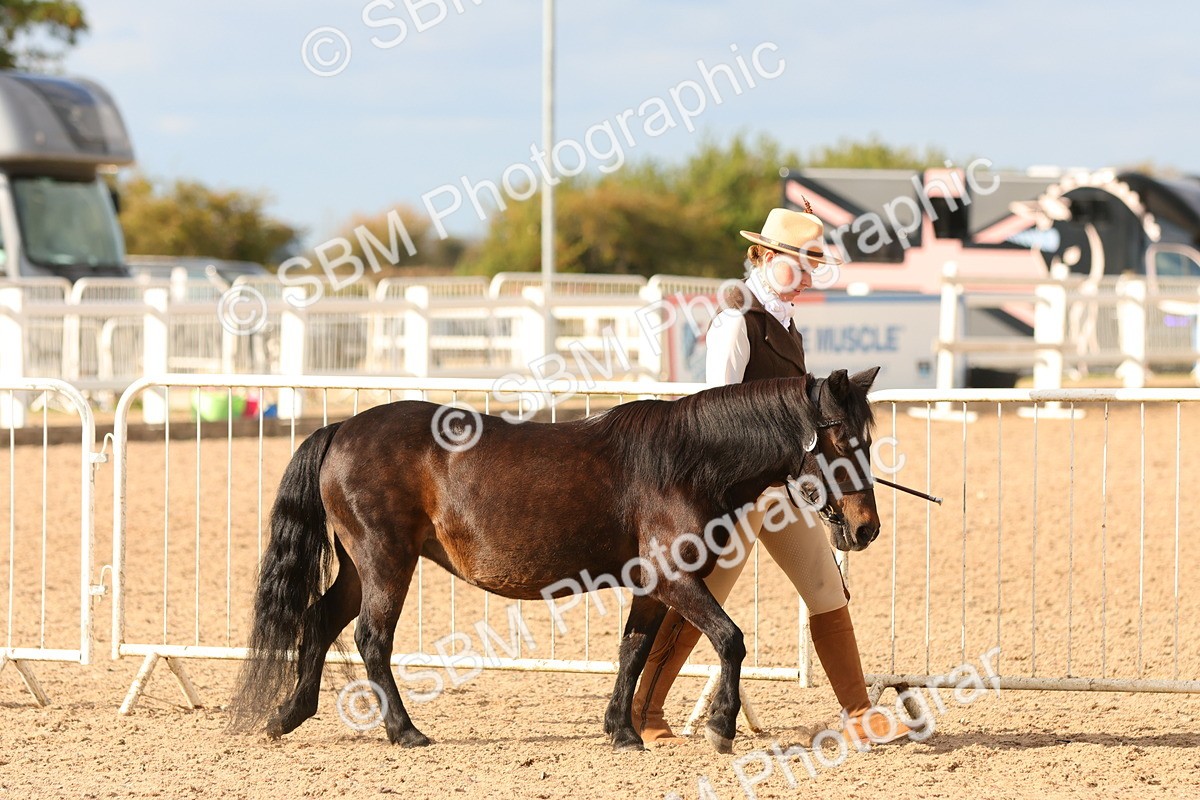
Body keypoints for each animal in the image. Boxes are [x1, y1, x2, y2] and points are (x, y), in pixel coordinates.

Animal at [231, 366, 883, 753]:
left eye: (869, 440)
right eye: (842, 440)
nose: (865, 527)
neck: (686, 459)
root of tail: (341, 427)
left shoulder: (651, 585)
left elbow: (634, 650)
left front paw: (623, 730)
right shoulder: (675, 578)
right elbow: (730, 639)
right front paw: (721, 728)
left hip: (358, 565)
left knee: (318, 620)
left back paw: (288, 715)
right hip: (385, 560)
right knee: (372, 637)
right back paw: (404, 730)